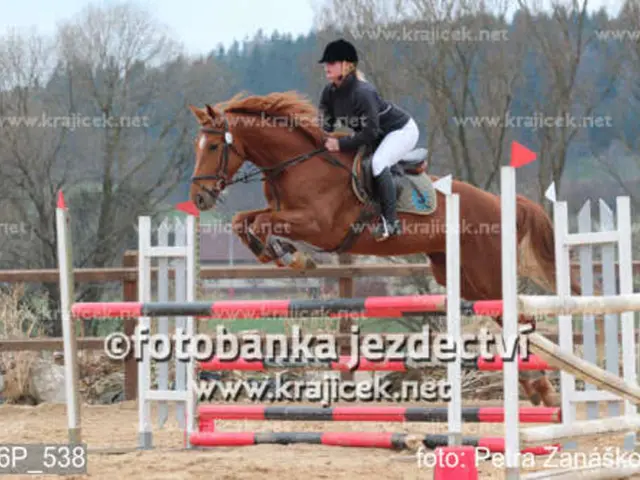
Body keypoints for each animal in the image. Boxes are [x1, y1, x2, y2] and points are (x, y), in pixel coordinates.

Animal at [187, 91, 579, 407]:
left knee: (522, 318)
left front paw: (292, 256)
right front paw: (277, 252)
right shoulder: (284, 214)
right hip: (462, 276)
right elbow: (243, 220)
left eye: (213, 147)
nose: (200, 198)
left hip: (486, 272)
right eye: (197, 147)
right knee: (508, 317)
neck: (297, 163)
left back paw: (542, 386)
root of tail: (501, 202)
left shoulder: (319, 225)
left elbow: (261, 223)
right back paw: (534, 385)